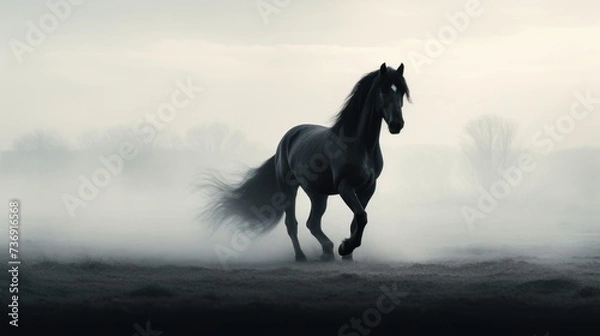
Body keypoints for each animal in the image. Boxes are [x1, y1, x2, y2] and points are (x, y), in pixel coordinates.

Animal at [199, 63, 410, 262]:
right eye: (383, 90)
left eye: (401, 91)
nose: (396, 124)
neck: (357, 144)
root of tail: (285, 141)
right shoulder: (345, 187)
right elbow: (361, 217)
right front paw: (345, 247)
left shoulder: (368, 188)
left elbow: (357, 220)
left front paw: (347, 254)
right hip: (289, 190)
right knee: (293, 224)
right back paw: (303, 256)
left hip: (317, 193)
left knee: (313, 223)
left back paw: (327, 251)